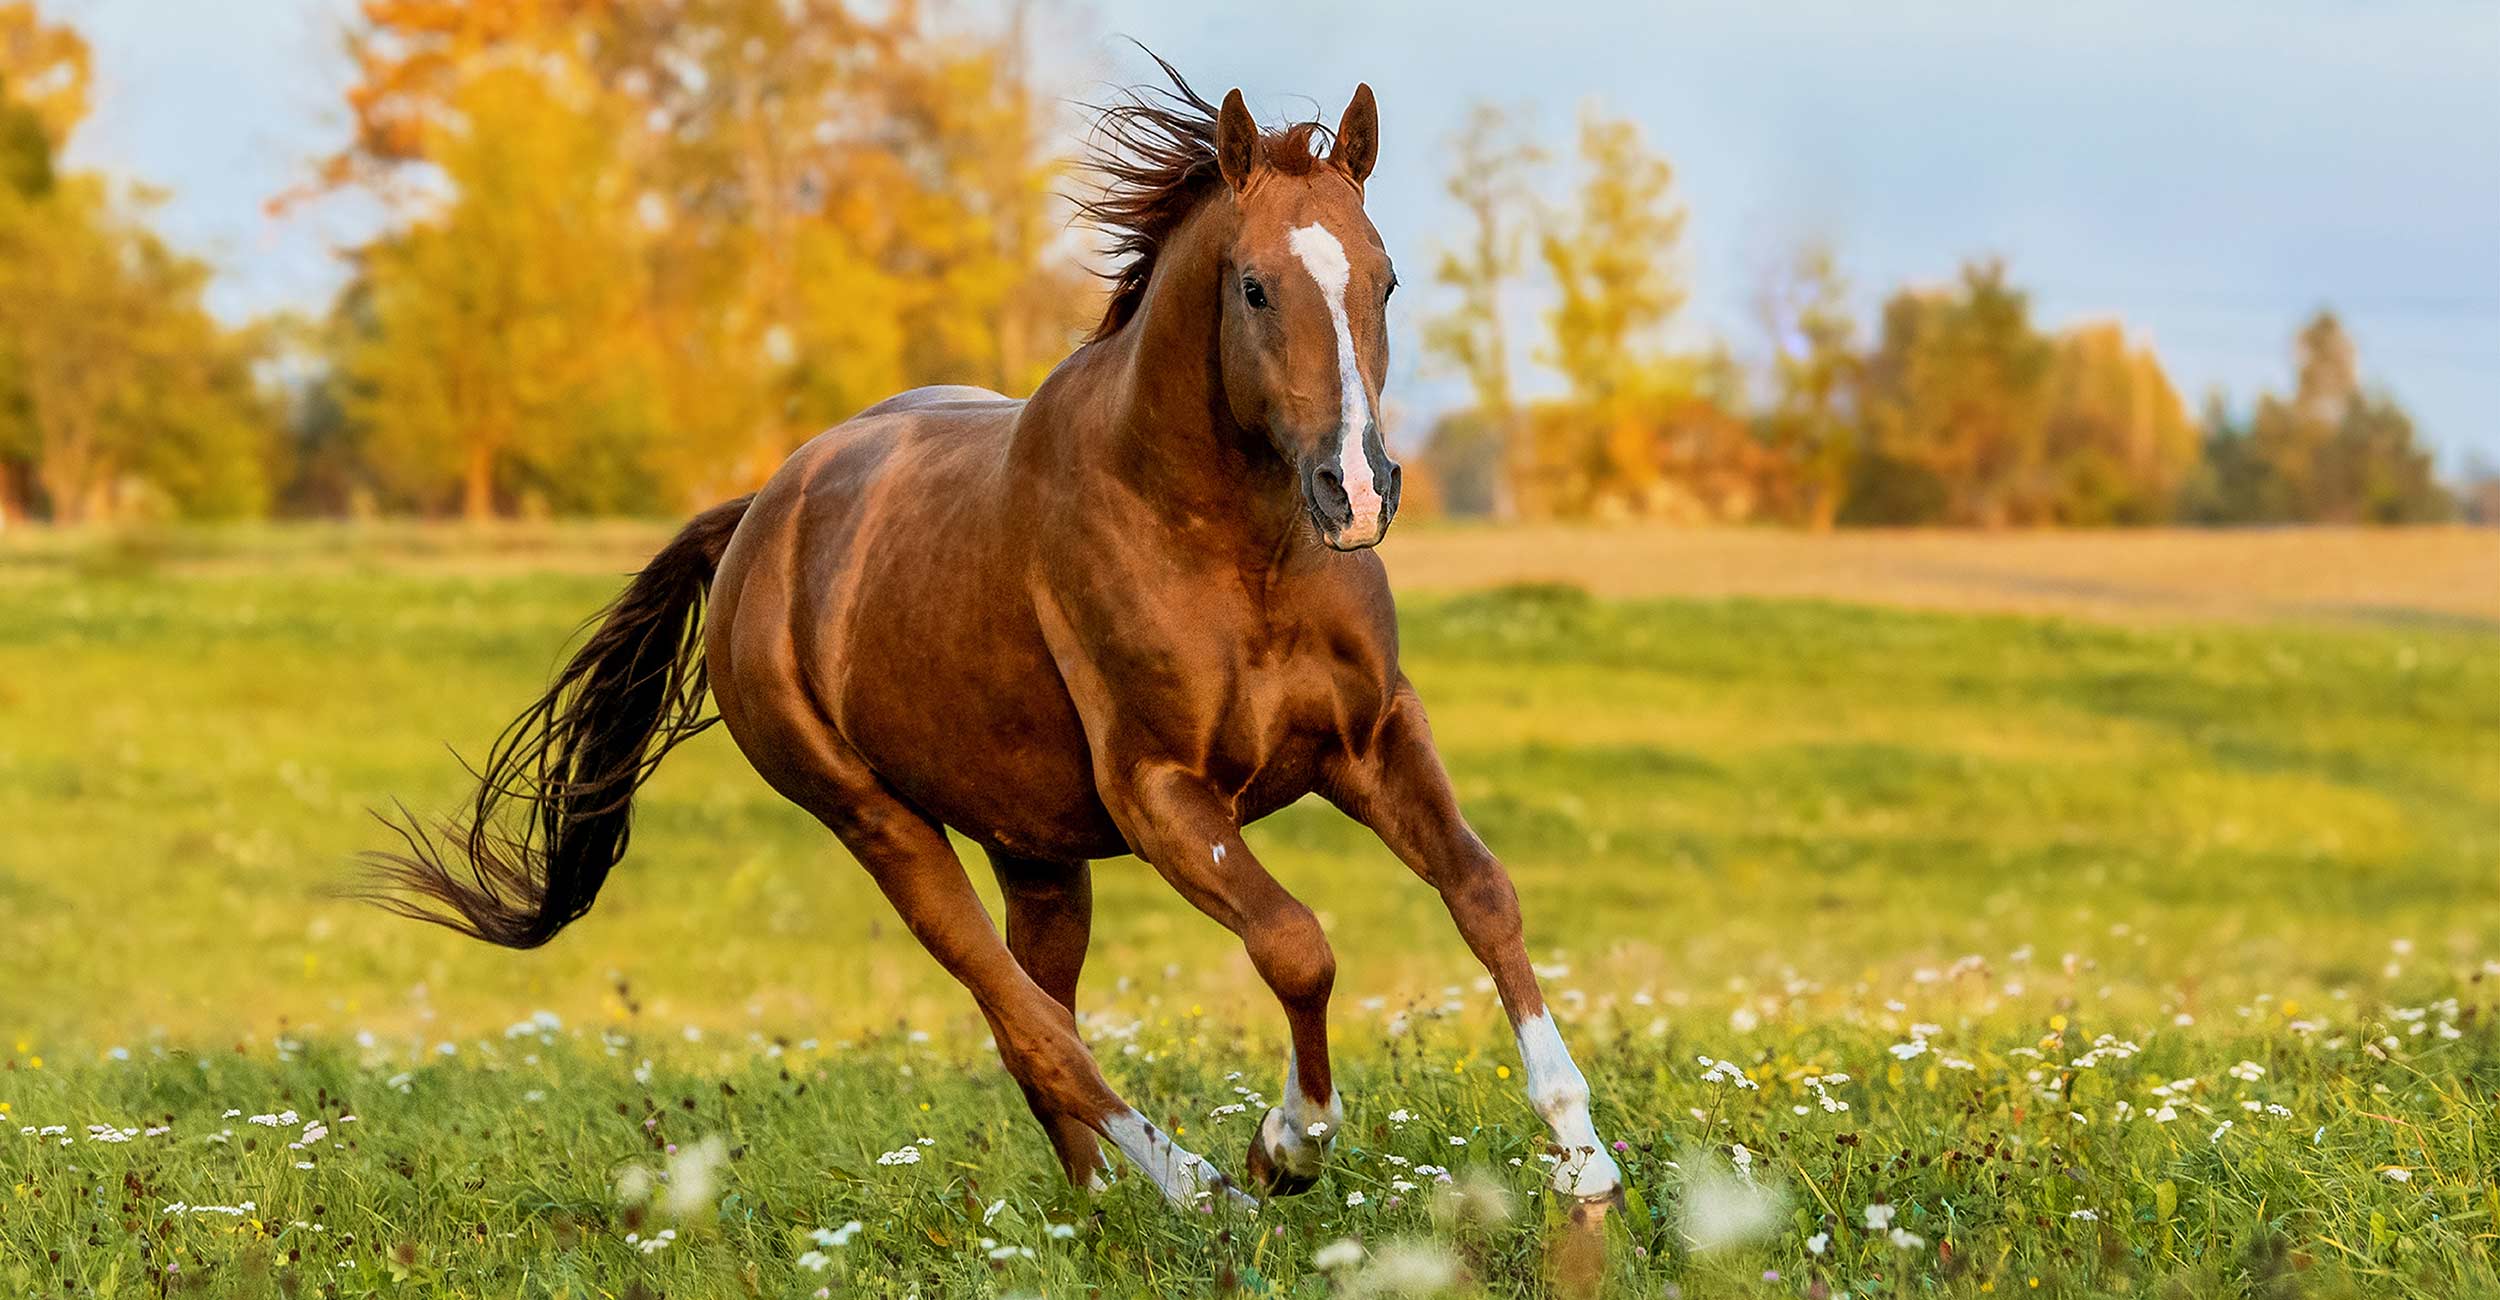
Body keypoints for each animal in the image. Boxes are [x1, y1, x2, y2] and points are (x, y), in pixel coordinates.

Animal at [365, 63, 1620, 1220]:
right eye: (1256, 286)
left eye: (1385, 277)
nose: (1355, 490)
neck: (1230, 548)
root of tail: (758, 515)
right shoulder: (1161, 793)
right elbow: (1294, 943)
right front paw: (1286, 1145)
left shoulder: (1371, 737)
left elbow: (1481, 889)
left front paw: (1582, 1158)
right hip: (880, 825)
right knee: (1030, 1027)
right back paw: (1197, 1190)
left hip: (1037, 852)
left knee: (1042, 1017)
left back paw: (1099, 1204)